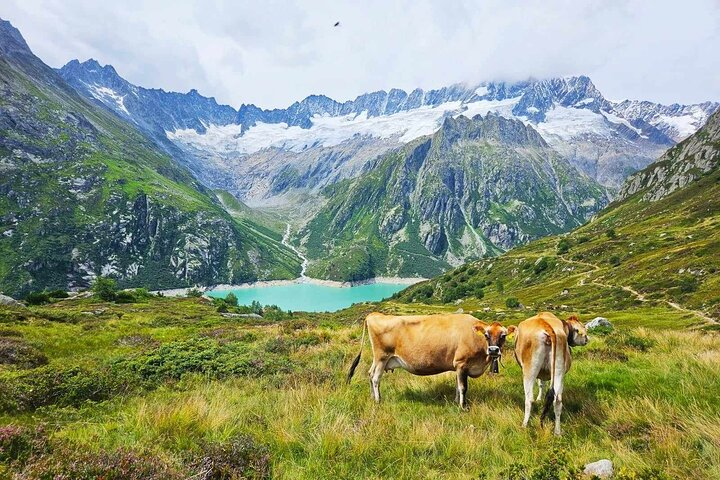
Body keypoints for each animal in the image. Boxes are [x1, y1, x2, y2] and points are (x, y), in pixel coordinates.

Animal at [346, 312, 516, 408]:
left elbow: (456, 385)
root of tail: (375, 314)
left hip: (379, 359)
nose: (493, 350)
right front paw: (462, 407)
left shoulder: (458, 367)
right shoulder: (461, 363)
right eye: (486, 335)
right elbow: (463, 387)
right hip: (382, 356)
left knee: (370, 374)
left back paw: (372, 396)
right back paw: (378, 400)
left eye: (503, 335)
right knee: (375, 378)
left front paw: (455, 402)